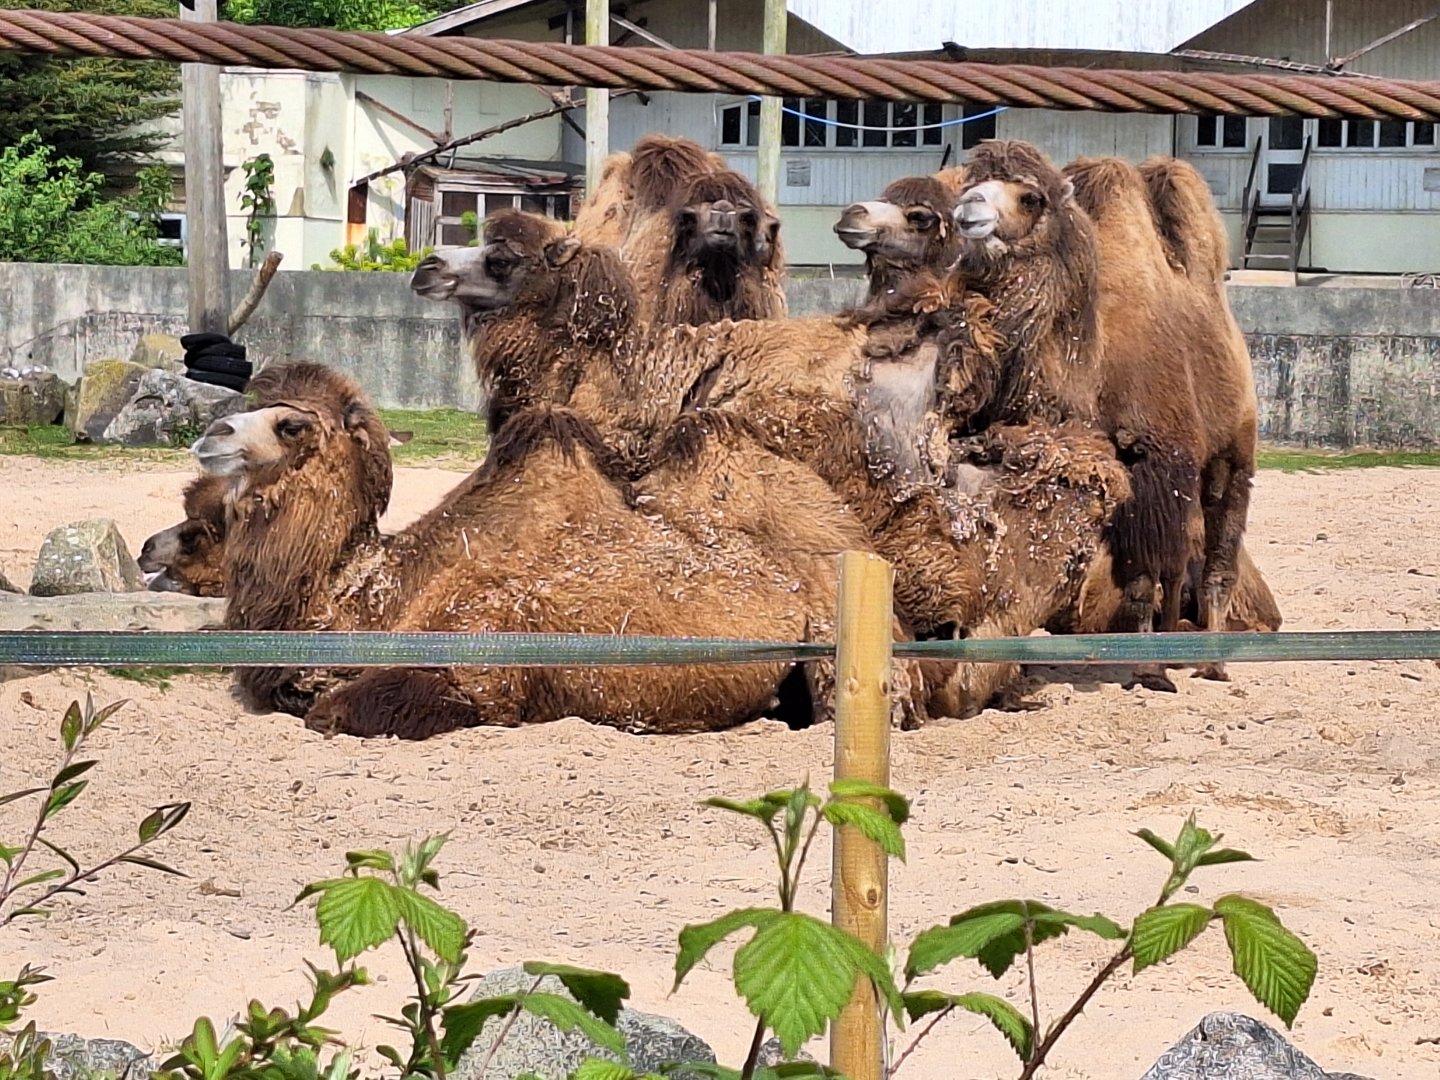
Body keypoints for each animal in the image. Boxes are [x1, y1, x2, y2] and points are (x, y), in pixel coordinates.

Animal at [950, 140, 1261, 689]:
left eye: (1031, 197)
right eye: (970, 182)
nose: (969, 210)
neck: (1090, 365)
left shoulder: (1148, 462)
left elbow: (1139, 577)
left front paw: (1150, 672)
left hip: (1232, 451)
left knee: (1216, 554)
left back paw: (1212, 663)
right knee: (1177, 564)